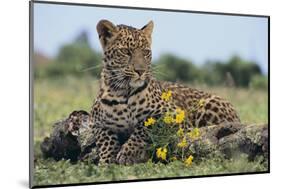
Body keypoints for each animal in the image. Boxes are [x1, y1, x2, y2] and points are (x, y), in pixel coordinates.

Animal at [88, 19, 240, 165]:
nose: (140, 71)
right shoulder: (94, 122)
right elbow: (106, 139)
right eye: (126, 51)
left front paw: (127, 153)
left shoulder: (172, 113)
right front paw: (107, 160)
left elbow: (145, 127)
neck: (123, 91)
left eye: (145, 52)